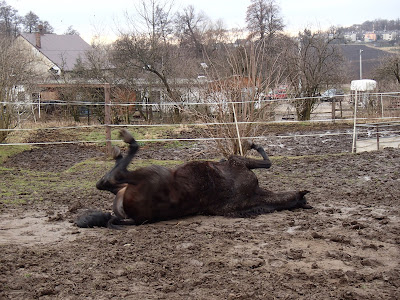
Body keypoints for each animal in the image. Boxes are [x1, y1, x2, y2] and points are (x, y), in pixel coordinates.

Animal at [76, 129, 312, 230]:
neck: (254, 195)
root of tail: (132, 217)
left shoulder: (238, 162)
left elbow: (267, 163)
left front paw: (252, 144)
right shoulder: (238, 163)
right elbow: (266, 162)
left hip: (147, 174)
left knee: (112, 177)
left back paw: (125, 143)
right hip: (126, 186)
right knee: (106, 181)